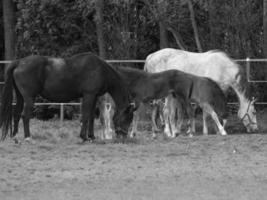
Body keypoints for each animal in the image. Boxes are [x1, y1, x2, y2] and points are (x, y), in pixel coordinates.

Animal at [0, 52, 134, 141]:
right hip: (29, 98)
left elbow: (91, 116)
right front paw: (84, 137)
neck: (100, 69)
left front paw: (91, 136)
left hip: (20, 97)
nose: (124, 137)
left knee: (17, 114)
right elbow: (86, 115)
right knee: (25, 116)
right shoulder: (89, 95)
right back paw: (27, 137)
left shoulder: (94, 96)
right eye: (127, 118)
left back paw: (15, 137)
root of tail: (19, 62)